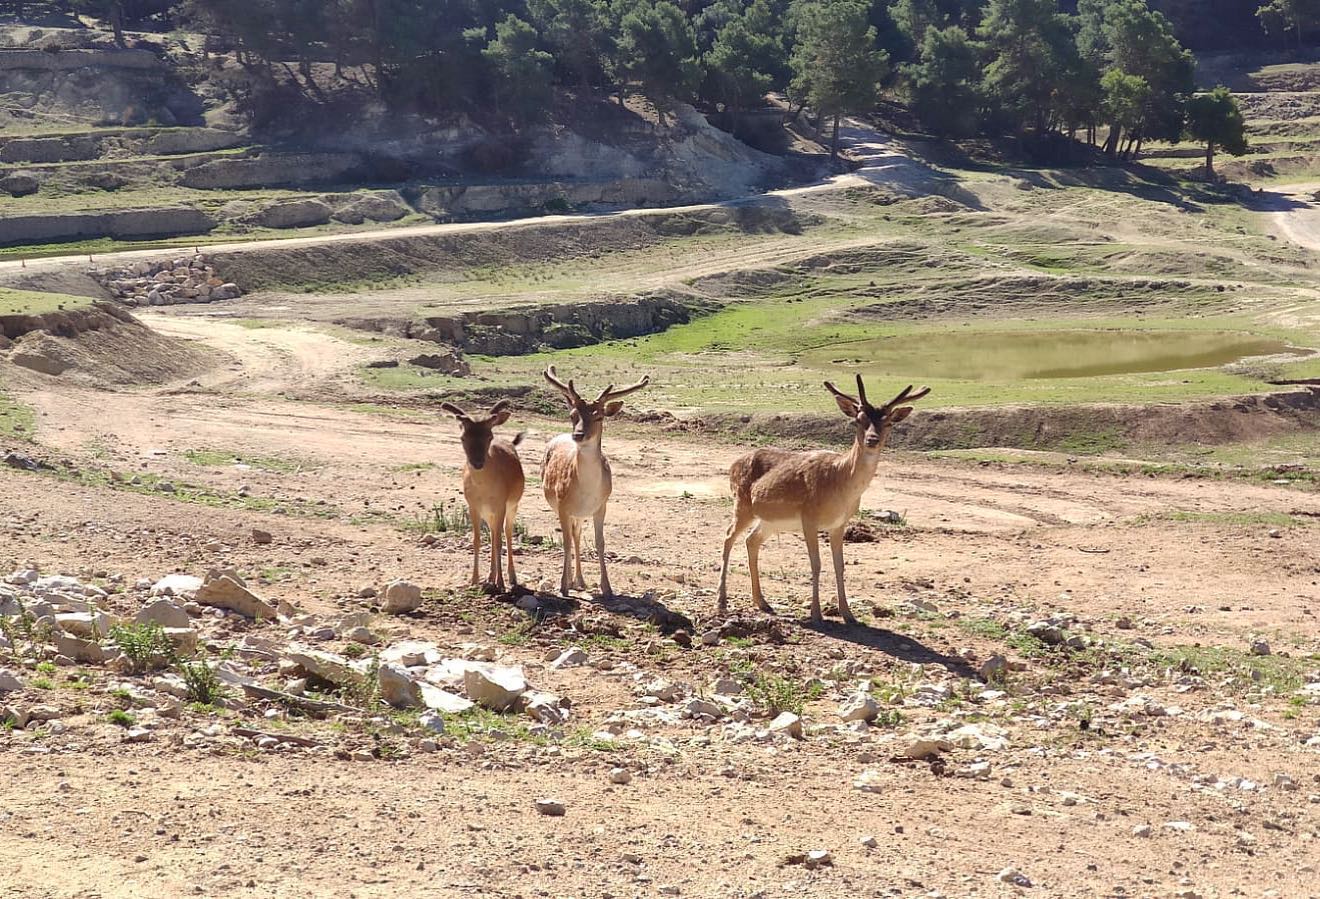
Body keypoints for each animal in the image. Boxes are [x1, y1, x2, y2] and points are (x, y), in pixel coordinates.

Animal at [443, 398, 525, 596]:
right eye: (463, 437)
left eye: (489, 436)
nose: (477, 462)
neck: (484, 490)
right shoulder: (473, 505)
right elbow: (477, 540)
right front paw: (474, 580)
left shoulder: (501, 504)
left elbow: (499, 542)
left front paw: (501, 583)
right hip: (489, 513)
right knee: (494, 533)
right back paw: (489, 578)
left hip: (513, 505)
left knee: (506, 533)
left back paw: (511, 578)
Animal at [541, 364, 649, 596]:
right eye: (573, 415)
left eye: (599, 417)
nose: (578, 435)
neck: (587, 490)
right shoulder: (562, 505)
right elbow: (565, 542)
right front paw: (563, 586)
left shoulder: (602, 505)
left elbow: (600, 542)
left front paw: (607, 587)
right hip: (562, 507)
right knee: (572, 536)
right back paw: (572, 581)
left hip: (581, 514)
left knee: (577, 533)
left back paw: (580, 581)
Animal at [712, 377, 929, 623]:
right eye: (858, 420)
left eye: (889, 423)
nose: (872, 439)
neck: (839, 486)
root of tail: (732, 466)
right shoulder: (809, 517)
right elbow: (816, 564)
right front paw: (816, 613)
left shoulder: (839, 524)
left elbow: (839, 565)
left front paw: (848, 614)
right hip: (742, 504)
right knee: (728, 536)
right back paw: (721, 601)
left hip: (770, 520)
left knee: (751, 540)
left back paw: (762, 602)